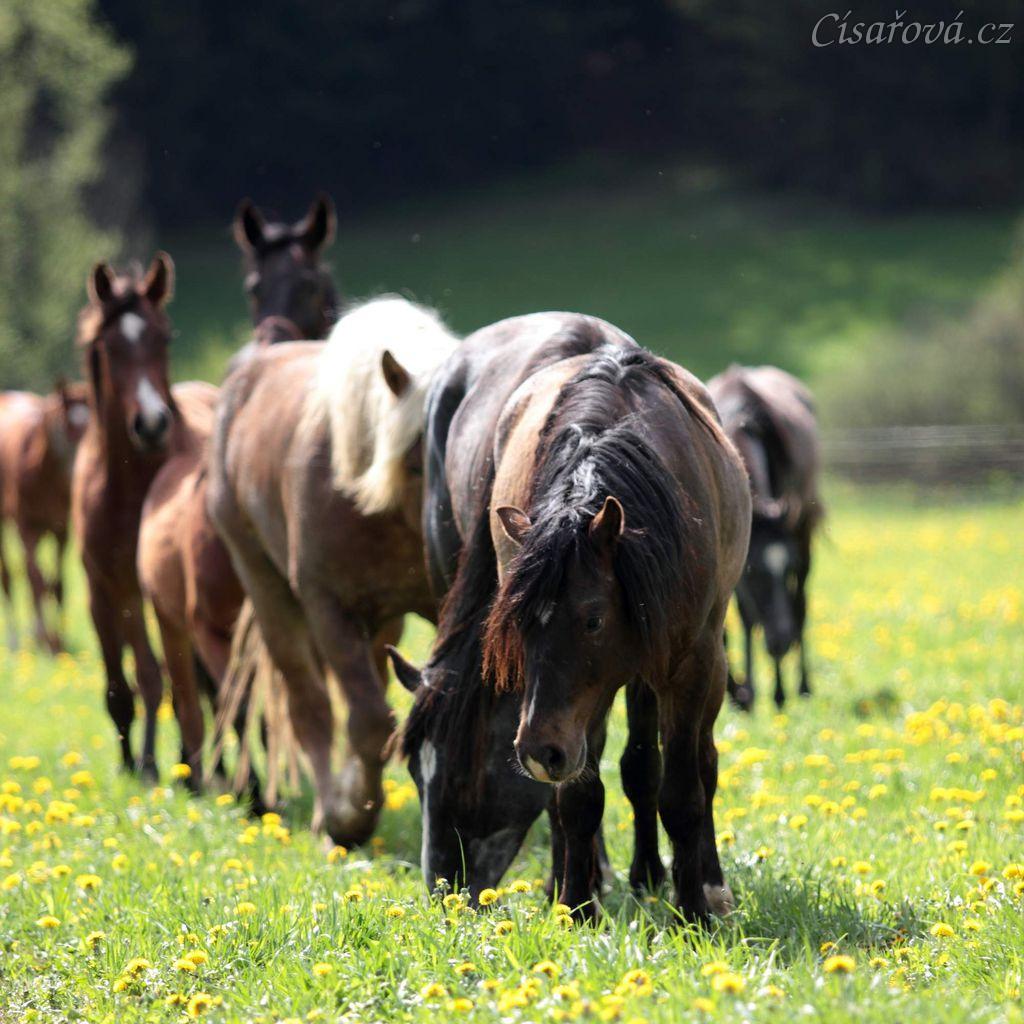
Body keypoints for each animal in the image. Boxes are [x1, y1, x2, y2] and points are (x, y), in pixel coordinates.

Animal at [0, 382, 89, 652]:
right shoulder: (26, 527)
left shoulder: (61, 529)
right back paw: (16, 640)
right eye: (69, 428)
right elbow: (36, 580)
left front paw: (58, 640)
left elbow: (57, 583)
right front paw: (45, 638)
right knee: (10, 577)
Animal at [72, 253, 218, 780]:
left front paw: (164, 764)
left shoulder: (156, 591)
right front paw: (136, 763)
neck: (129, 487)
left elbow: (167, 680)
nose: (153, 423)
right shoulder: (105, 588)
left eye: (164, 338)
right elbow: (129, 683)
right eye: (108, 346)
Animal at [208, 296, 459, 844]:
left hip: (381, 622)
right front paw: (349, 818)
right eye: (415, 463)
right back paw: (331, 806)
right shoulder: (328, 608)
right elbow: (368, 720)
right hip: (269, 592)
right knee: (312, 705)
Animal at [390, 314, 750, 924]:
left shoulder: (687, 663)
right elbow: (578, 796)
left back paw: (686, 879)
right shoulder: (571, 702)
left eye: (592, 621)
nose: (444, 889)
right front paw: (576, 906)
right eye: (416, 773)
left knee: (689, 763)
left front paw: (694, 909)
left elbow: (681, 788)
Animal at [707, 365, 823, 710]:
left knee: (801, 605)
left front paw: (781, 692)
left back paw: (801, 685)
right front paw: (749, 692)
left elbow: (794, 606)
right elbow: (745, 617)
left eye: (788, 567)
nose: (780, 641)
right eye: (755, 571)